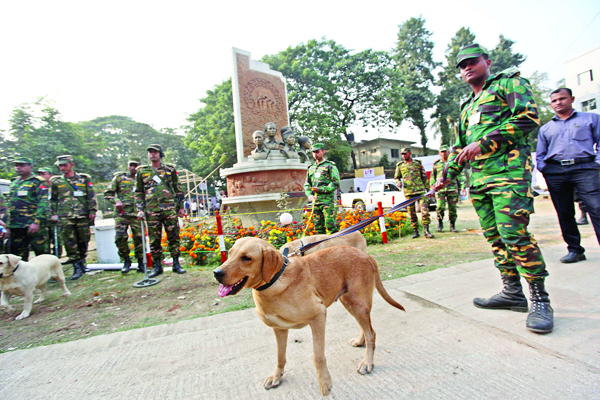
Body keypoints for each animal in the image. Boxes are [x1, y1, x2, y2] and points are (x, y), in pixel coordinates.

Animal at [211, 236, 404, 396]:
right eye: (229, 253)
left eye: (246, 258)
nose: (217, 273)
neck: (274, 281)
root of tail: (366, 255)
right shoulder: (279, 328)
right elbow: (280, 356)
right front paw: (277, 376)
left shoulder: (318, 316)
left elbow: (317, 356)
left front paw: (325, 382)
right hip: (350, 302)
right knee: (366, 328)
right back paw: (360, 341)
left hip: (357, 302)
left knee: (372, 333)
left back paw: (367, 362)